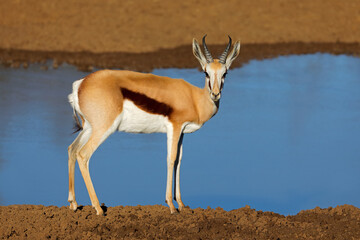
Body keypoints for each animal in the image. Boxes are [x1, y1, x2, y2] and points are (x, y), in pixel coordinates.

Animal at [67, 35, 242, 214]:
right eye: (206, 72)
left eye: (225, 73)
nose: (215, 94)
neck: (194, 99)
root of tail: (80, 84)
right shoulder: (174, 127)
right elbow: (171, 159)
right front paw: (171, 206)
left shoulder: (182, 132)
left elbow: (179, 160)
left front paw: (181, 204)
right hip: (103, 128)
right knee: (83, 155)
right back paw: (98, 208)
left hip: (89, 128)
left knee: (72, 149)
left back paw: (73, 203)